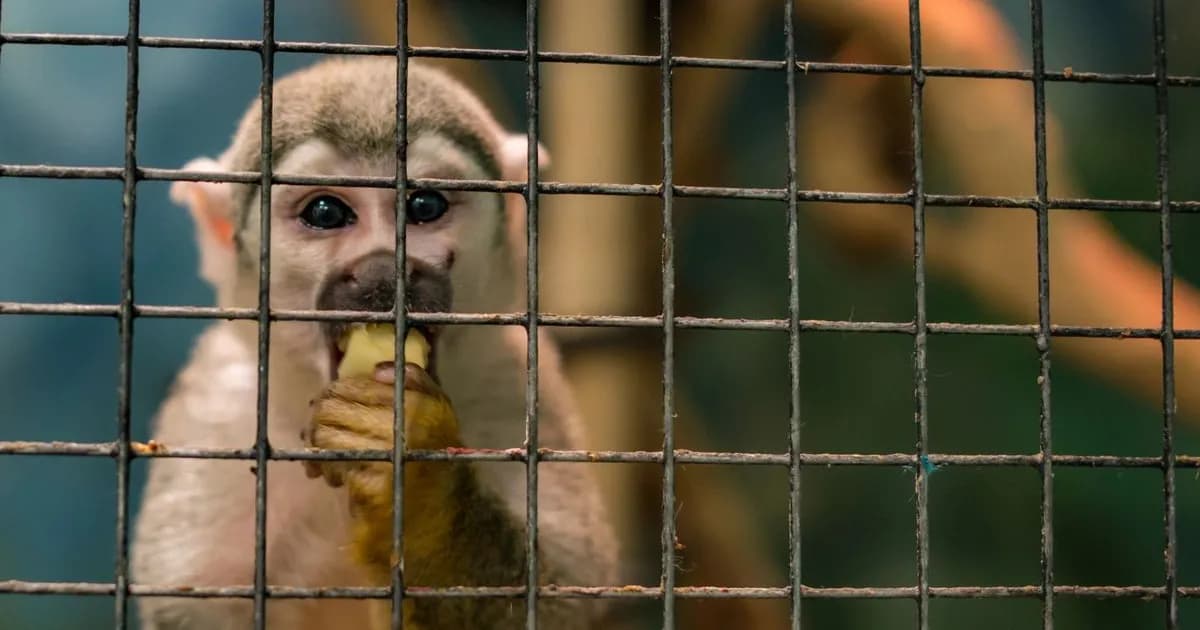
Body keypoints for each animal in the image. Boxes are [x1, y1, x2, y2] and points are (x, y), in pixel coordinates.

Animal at [130, 56, 618, 629]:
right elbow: (193, 606)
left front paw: (420, 482)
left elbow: (566, 595)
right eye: (325, 213)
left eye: (424, 205)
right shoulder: (219, 410)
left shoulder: (513, 386)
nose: (386, 271)